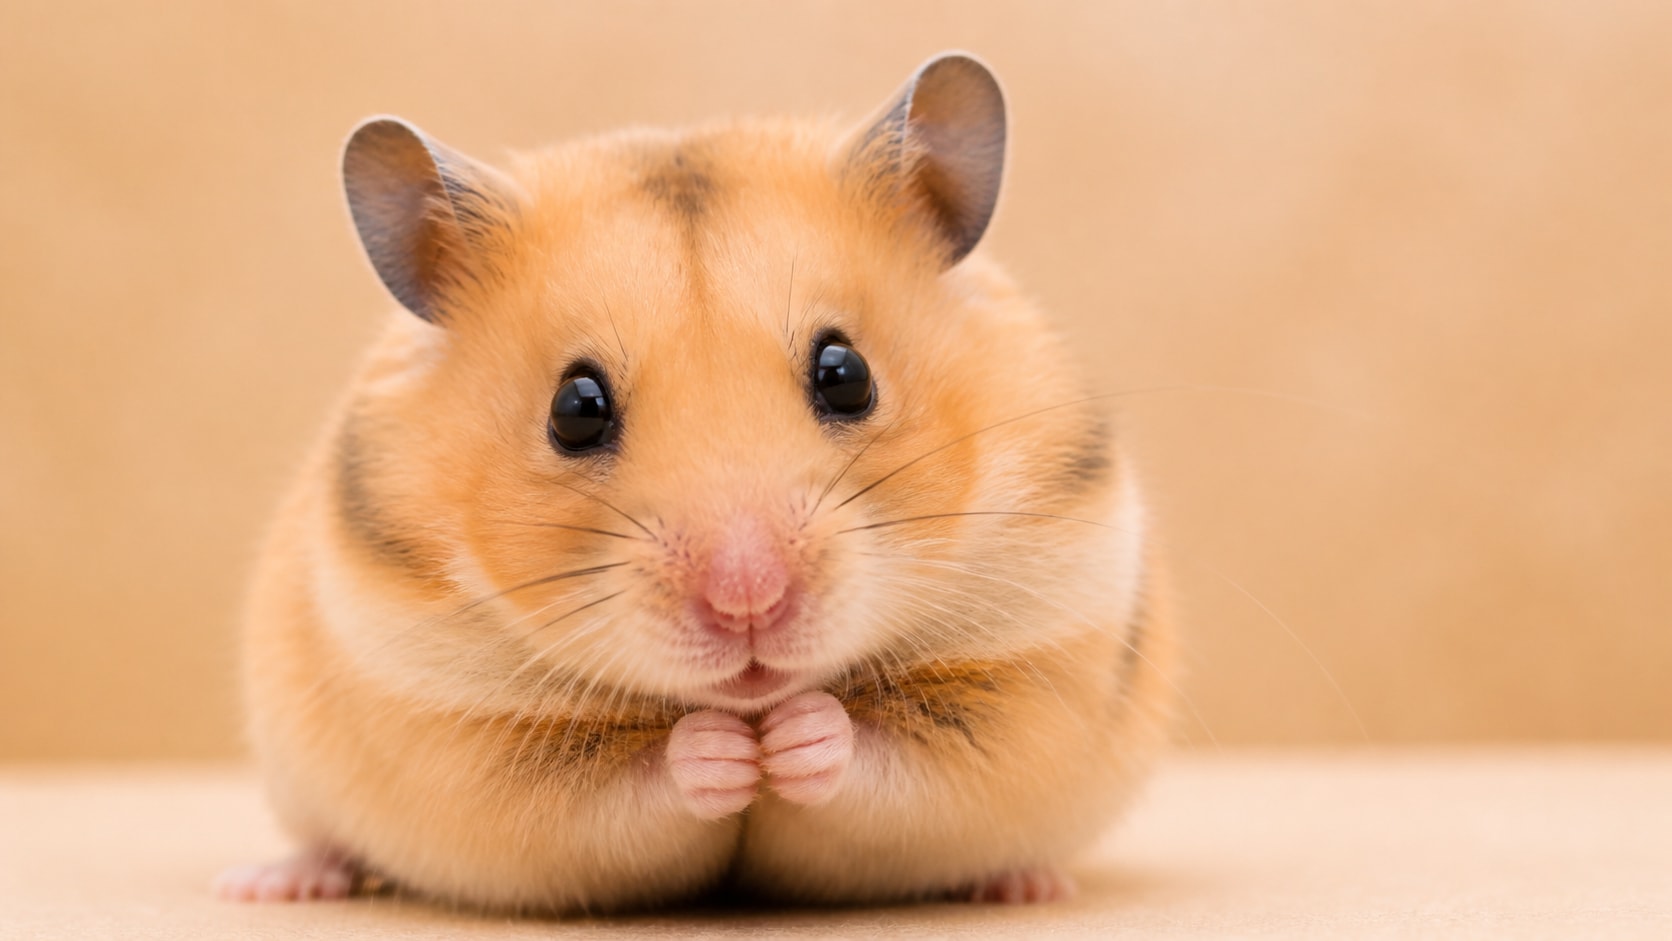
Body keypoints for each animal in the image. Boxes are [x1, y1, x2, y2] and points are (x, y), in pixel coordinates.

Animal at [213, 51, 1173, 912]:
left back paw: (1029, 883)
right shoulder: (443, 722)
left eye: (846, 374)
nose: (748, 601)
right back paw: (276, 881)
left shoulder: (1039, 659)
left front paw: (788, 739)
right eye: (575, 408)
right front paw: (728, 751)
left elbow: (891, 754)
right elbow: (627, 780)